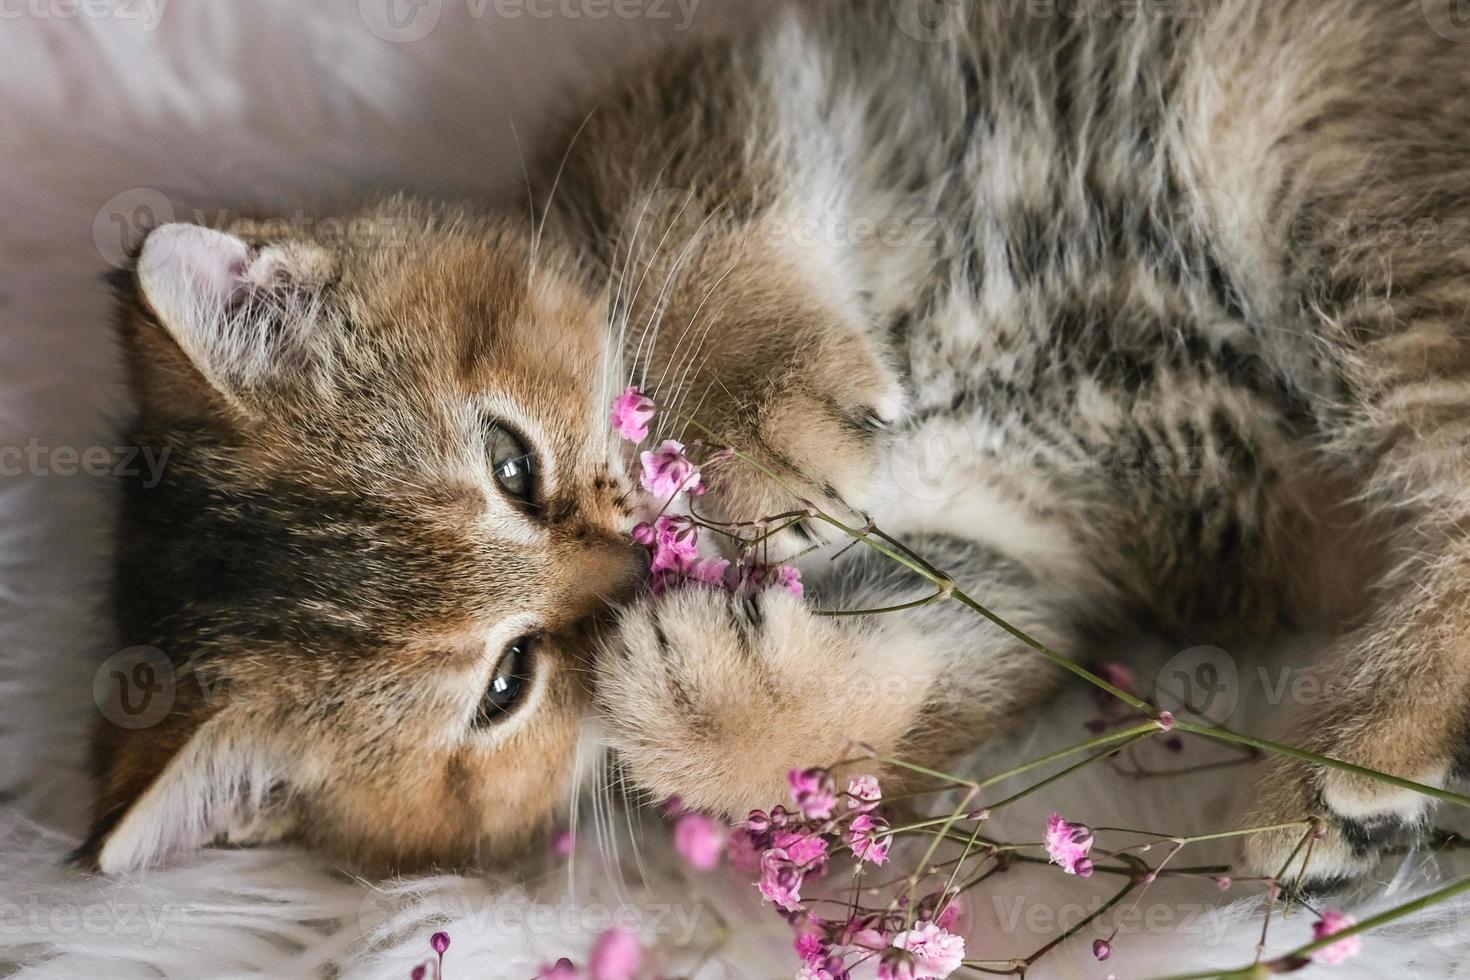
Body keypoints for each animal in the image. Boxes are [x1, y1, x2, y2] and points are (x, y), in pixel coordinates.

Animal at [88, 1, 1470, 887]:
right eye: (507, 684)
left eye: (513, 465)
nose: (623, 575)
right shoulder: (1045, 567)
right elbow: (893, 695)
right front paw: (707, 694)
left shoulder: (727, 94)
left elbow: (704, 240)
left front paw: (750, 438)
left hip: (1312, 160)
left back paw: (1349, 763)